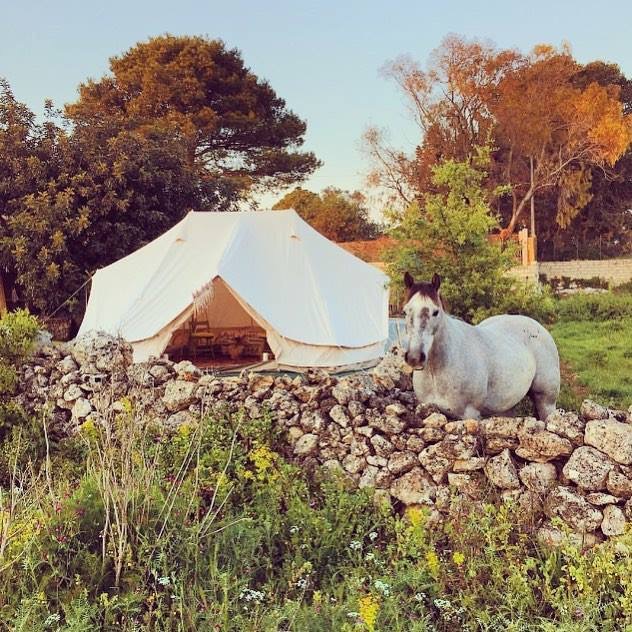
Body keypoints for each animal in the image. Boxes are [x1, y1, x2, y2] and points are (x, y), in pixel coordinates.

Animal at [402, 270, 560, 420]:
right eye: (405, 311)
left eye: (435, 312)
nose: (414, 357)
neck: (436, 371)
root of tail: (538, 326)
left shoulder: (470, 414)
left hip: (546, 403)